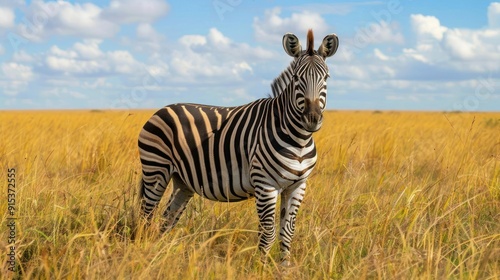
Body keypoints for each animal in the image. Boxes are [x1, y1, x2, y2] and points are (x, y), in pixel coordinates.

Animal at [139, 29, 338, 266]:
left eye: (326, 77)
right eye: (296, 78)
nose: (312, 119)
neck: (298, 139)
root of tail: (161, 109)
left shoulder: (298, 186)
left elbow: (287, 232)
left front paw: (284, 267)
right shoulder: (265, 184)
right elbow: (268, 232)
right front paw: (261, 268)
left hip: (182, 180)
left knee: (167, 217)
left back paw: (163, 254)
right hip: (156, 169)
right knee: (147, 214)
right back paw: (144, 252)